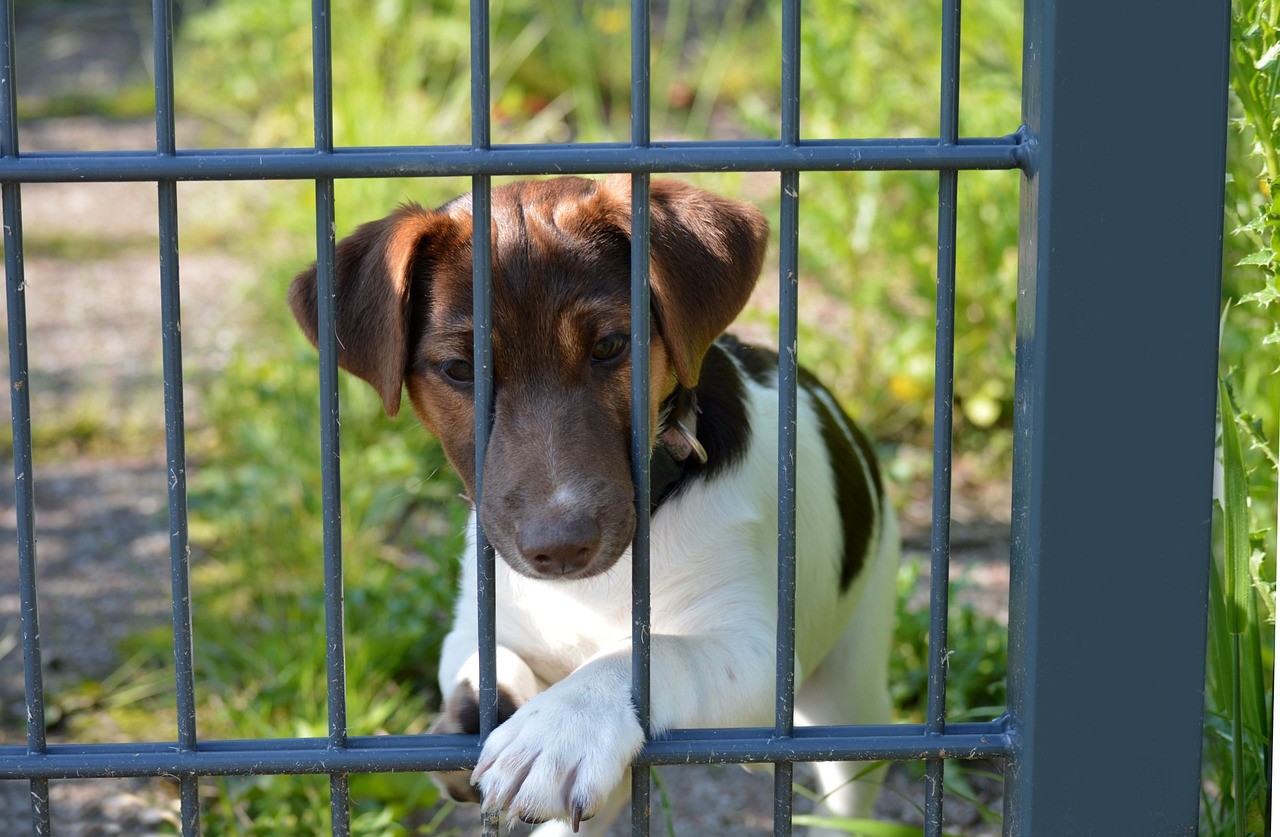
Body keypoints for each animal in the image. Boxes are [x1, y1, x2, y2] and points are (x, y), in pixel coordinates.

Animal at [288, 174, 901, 834]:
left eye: (610, 345)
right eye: (459, 369)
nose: (560, 548)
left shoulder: (759, 659)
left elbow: (650, 652)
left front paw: (560, 728)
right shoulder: (479, 626)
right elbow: (483, 667)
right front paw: (474, 719)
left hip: (853, 686)